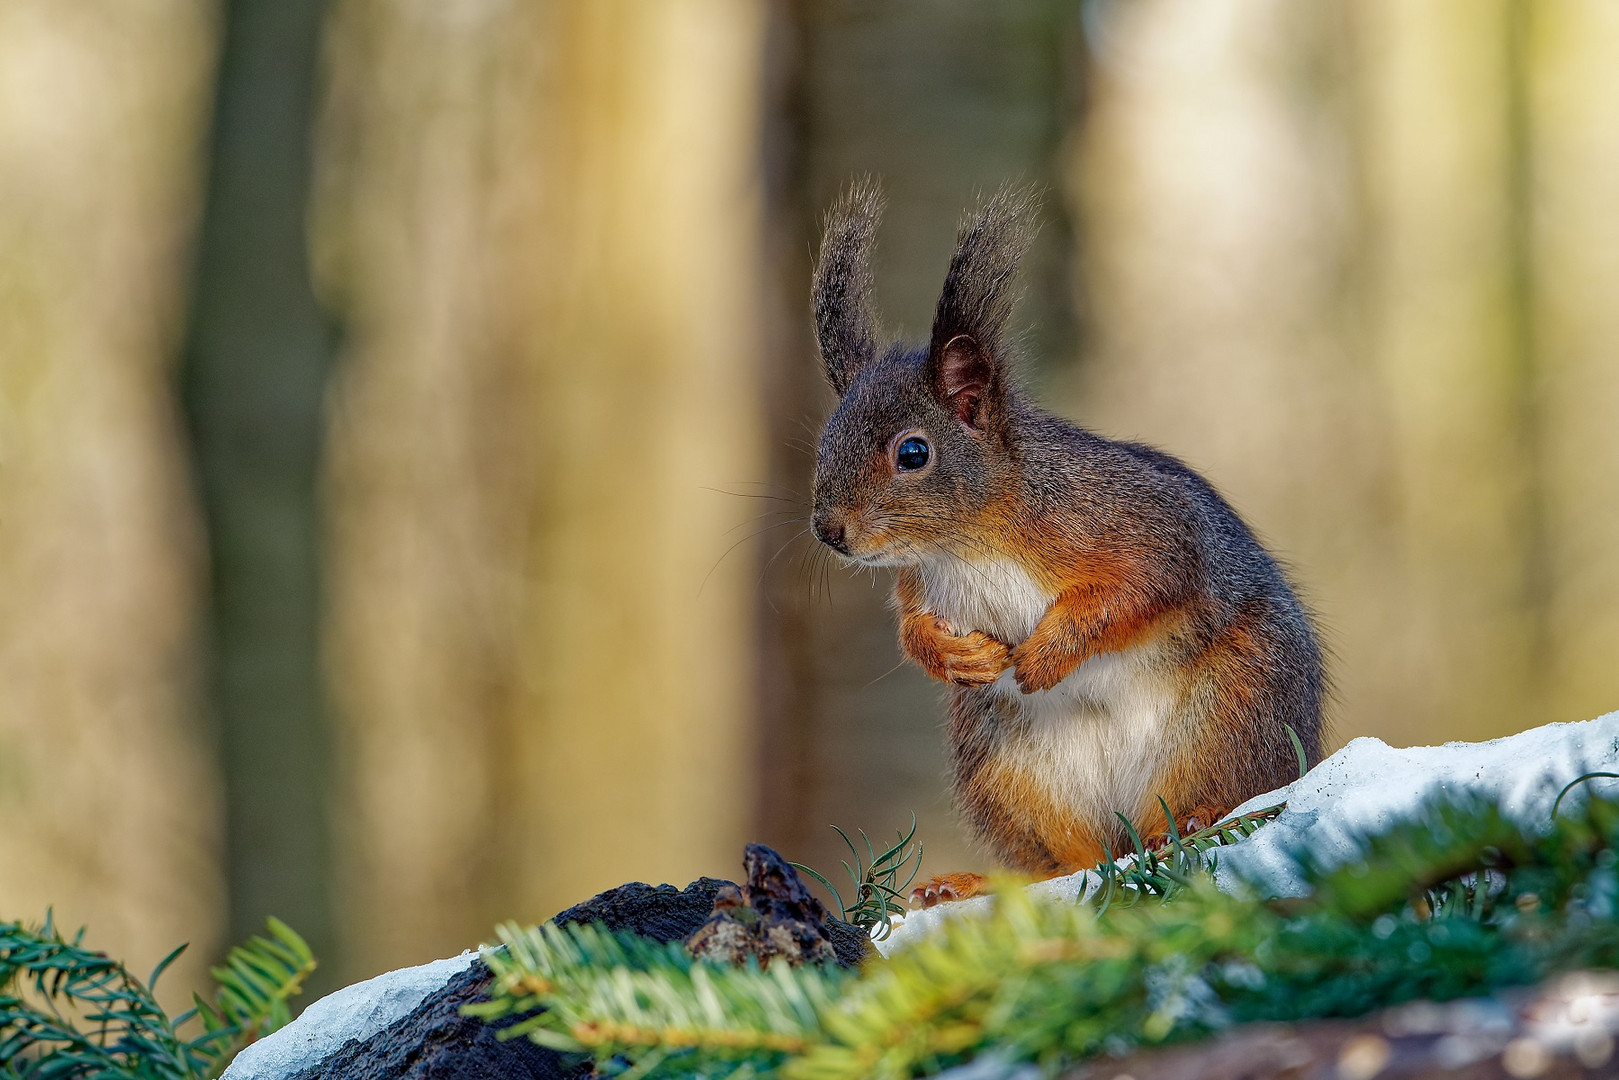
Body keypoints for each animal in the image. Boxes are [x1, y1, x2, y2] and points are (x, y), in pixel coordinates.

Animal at [809, 181, 1327, 906]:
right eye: (824, 443)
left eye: (912, 453)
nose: (828, 530)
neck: (968, 543)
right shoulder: (921, 580)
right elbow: (912, 627)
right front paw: (951, 652)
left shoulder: (1137, 522)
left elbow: (1139, 587)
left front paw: (1047, 654)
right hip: (1008, 766)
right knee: (1066, 862)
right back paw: (971, 883)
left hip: (1236, 710)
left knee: (1216, 794)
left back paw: (1191, 821)